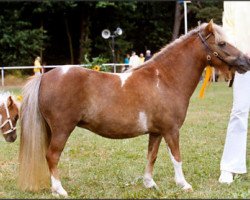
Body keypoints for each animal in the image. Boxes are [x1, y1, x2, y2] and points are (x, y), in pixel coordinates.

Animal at [19, 20, 250, 197]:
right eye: (222, 43)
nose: (246, 62)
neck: (165, 79)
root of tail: (45, 76)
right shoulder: (171, 130)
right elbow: (176, 157)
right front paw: (184, 184)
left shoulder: (156, 132)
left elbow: (152, 156)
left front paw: (150, 183)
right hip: (62, 129)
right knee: (52, 156)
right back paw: (60, 190)